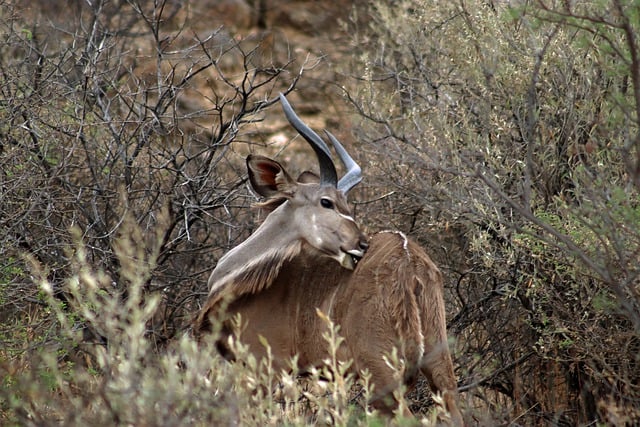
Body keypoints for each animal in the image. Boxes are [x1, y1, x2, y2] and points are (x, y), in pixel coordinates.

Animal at [192, 93, 462, 424]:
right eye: (328, 202)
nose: (361, 244)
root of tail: (409, 262)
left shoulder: (267, 366)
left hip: (380, 373)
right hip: (438, 364)